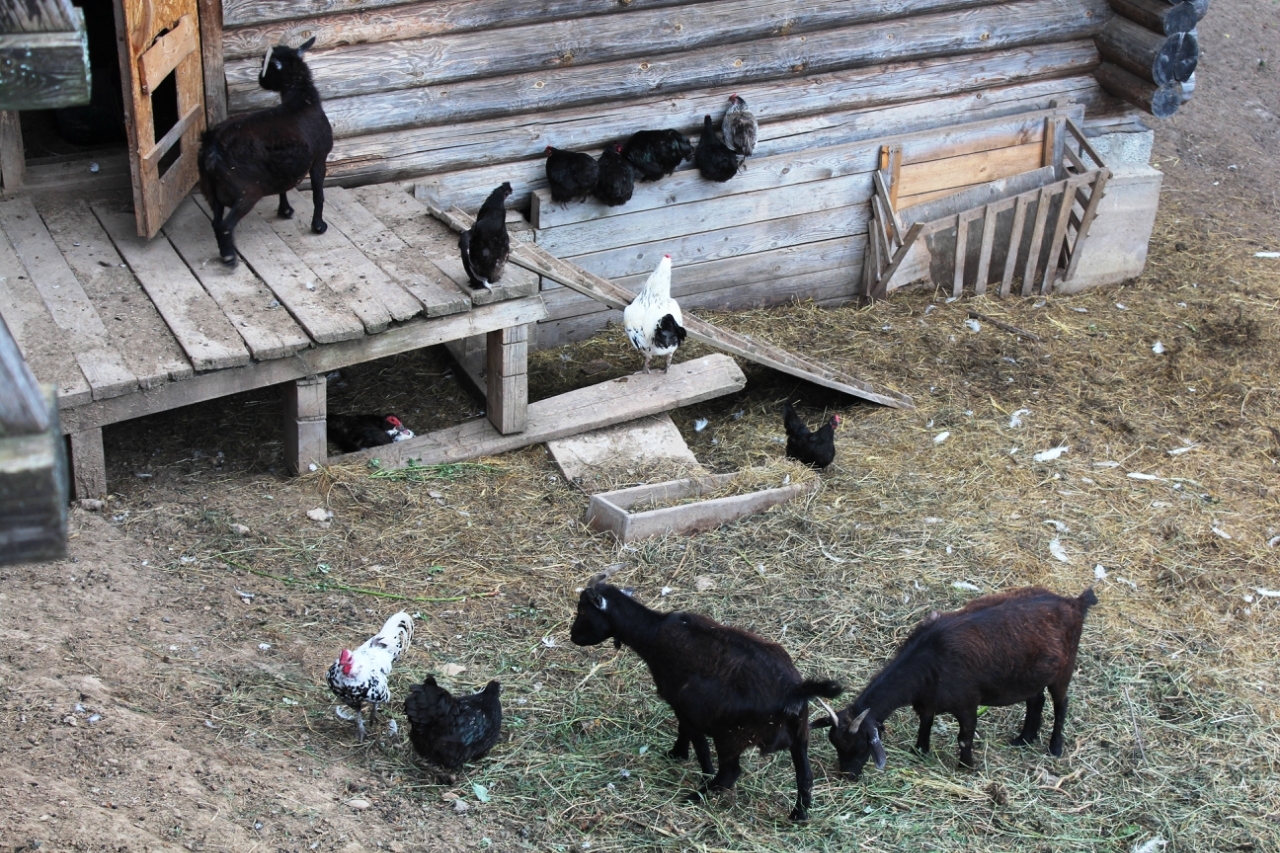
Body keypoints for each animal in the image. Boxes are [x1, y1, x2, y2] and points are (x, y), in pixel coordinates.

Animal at [195, 37, 330, 262]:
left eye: (266, 65)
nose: (260, 78)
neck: (303, 100)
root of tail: (211, 145)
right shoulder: (320, 157)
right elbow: (318, 195)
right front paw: (318, 226)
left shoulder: (282, 166)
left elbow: (285, 187)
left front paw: (285, 211)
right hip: (246, 190)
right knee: (225, 225)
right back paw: (229, 257)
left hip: (211, 189)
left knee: (216, 221)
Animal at [570, 578, 839, 819]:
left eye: (582, 610)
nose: (573, 636)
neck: (652, 632)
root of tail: (794, 689)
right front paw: (676, 754)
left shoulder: (685, 708)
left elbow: (697, 744)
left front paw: (688, 761)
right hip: (800, 733)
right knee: (805, 776)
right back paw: (799, 814)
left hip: (731, 735)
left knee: (730, 773)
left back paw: (695, 796)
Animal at [814, 584, 1095, 778]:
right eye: (835, 744)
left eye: (862, 746)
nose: (848, 776)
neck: (931, 657)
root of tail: (1074, 603)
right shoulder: (927, 701)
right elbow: (925, 723)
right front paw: (920, 750)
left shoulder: (968, 703)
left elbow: (964, 737)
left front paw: (966, 766)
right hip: (1030, 675)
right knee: (1035, 700)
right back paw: (1024, 738)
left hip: (1064, 670)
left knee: (1061, 703)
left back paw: (1055, 747)